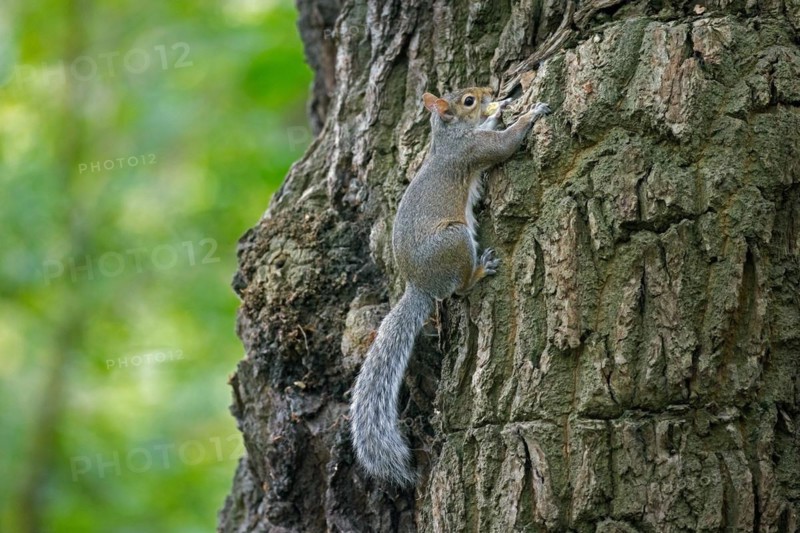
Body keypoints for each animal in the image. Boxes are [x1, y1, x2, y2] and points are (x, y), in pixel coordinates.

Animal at [349, 86, 551, 486]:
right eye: (468, 100)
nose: (489, 91)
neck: (447, 138)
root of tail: (420, 285)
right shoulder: (472, 151)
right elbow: (504, 145)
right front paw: (530, 113)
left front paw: (501, 108)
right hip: (455, 241)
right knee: (458, 288)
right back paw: (480, 270)